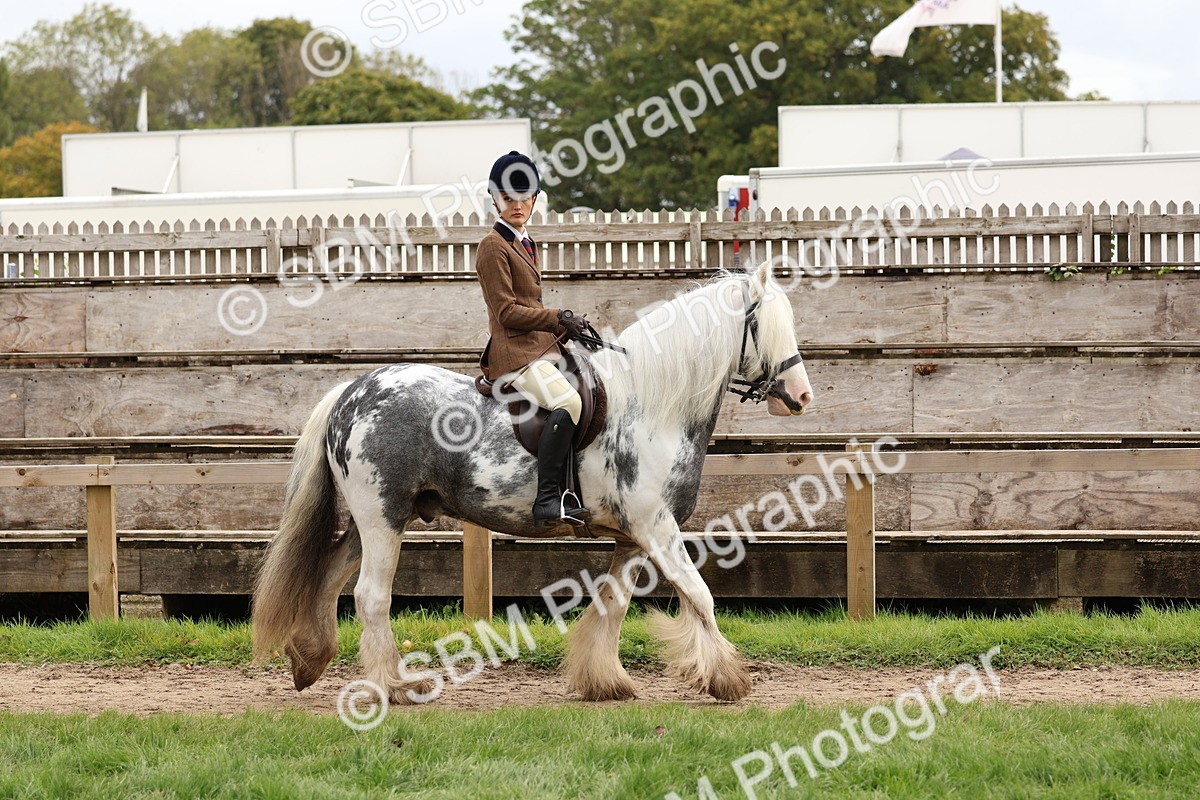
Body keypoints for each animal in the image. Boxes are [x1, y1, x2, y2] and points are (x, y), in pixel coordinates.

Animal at [252, 261, 814, 703]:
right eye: (764, 326)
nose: (802, 396)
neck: (651, 405)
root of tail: (352, 390)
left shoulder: (633, 538)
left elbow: (615, 605)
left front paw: (605, 681)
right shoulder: (656, 527)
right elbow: (699, 595)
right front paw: (727, 679)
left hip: (375, 522)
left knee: (332, 577)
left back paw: (309, 661)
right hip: (382, 519)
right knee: (371, 596)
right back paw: (397, 686)